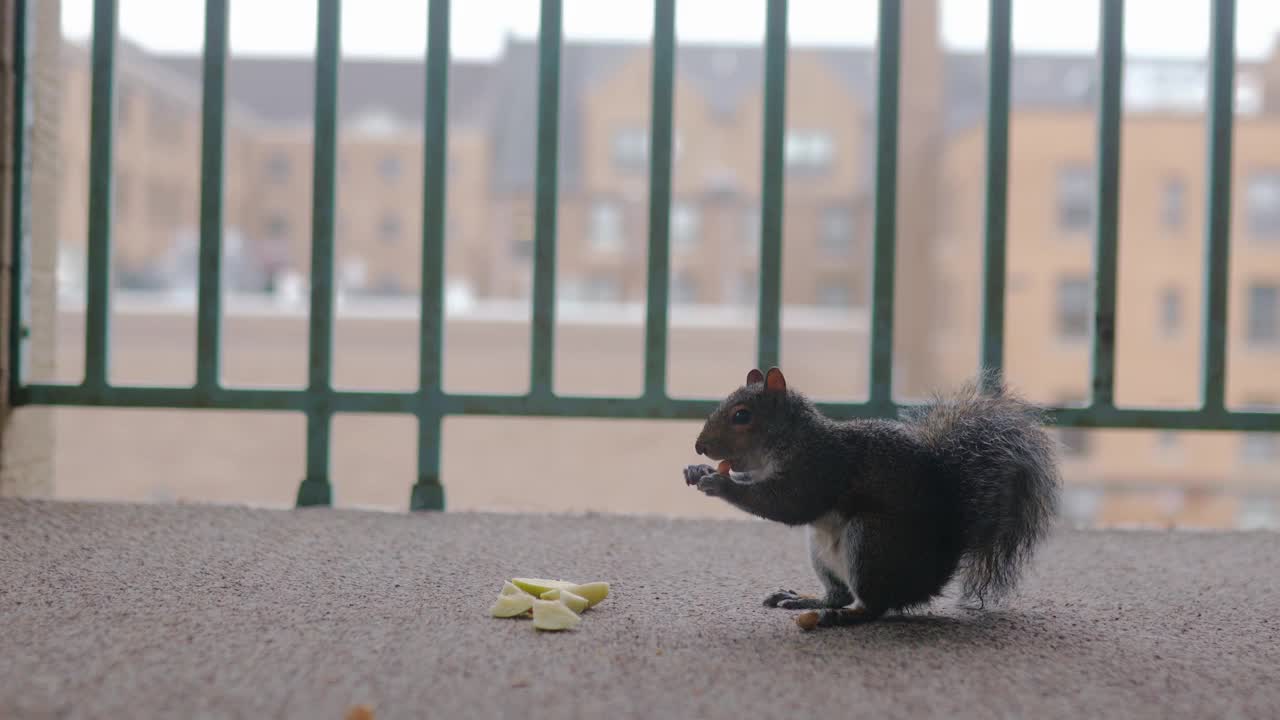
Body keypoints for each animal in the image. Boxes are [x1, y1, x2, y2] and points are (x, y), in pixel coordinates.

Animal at [686, 366, 1064, 625]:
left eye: (742, 416)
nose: (700, 447)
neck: (789, 438)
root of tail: (930, 578)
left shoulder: (820, 466)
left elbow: (788, 503)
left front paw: (720, 484)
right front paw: (697, 471)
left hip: (871, 542)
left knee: (874, 606)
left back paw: (842, 618)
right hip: (822, 551)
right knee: (838, 594)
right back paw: (806, 600)